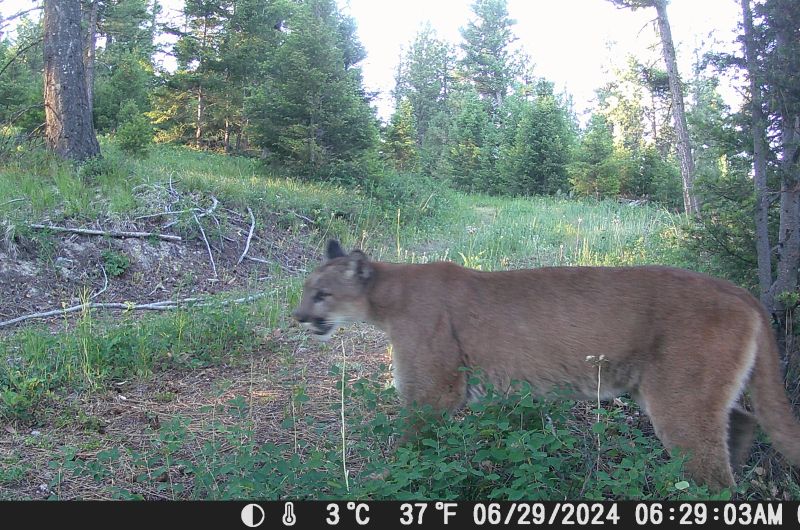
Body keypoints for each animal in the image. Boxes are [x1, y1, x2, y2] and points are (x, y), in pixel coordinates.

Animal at [292, 240, 800, 491]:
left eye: (322, 294)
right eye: (305, 289)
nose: (298, 317)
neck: (385, 297)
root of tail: (741, 290)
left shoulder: (434, 391)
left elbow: (408, 449)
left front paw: (378, 484)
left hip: (680, 399)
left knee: (714, 477)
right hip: (686, 391)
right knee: (742, 423)